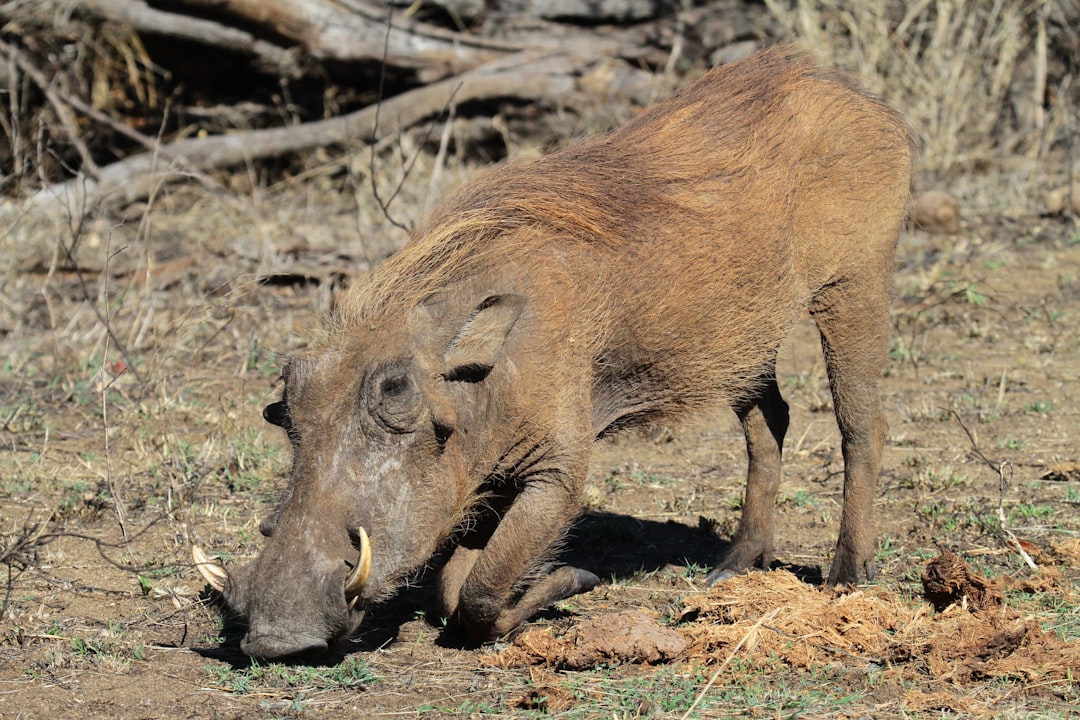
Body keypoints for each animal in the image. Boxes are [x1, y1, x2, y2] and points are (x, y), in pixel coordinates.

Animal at [193, 45, 916, 659]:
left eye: (398, 398)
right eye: (285, 411)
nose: (276, 637)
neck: (487, 369)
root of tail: (857, 94)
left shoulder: (557, 471)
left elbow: (482, 592)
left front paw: (573, 583)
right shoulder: (482, 477)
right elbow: (456, 587)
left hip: (854, 285)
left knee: (863, 425)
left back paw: (845, 577)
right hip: (743, 339)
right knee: (770, 425)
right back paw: (733, 568)